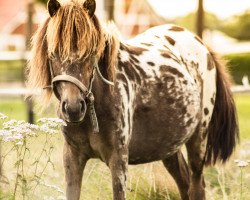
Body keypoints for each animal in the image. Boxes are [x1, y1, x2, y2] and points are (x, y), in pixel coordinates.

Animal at [26, 0, 238, 199]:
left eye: (91, 53)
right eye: (53, 53)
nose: (73, 108)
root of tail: (201, 43)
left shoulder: (118, 161)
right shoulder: (72, 157)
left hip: (198, 141)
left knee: (196, 187)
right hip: (170, 147)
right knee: (184, 184)